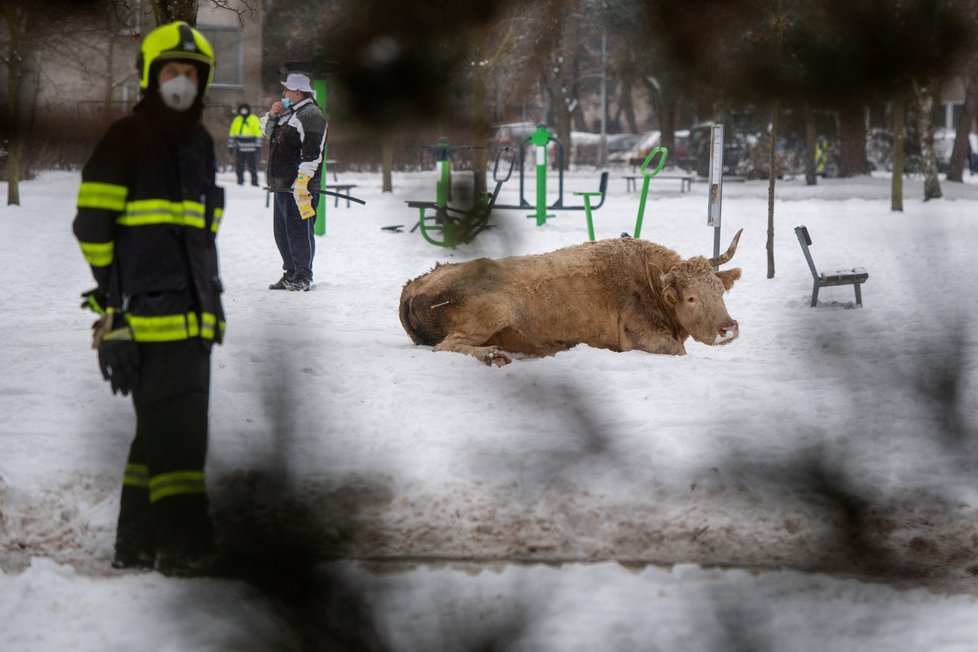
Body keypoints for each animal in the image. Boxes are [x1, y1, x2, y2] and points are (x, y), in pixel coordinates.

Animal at [396, 228, 740, 366]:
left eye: (719, 291)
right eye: (691, 298)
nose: (728, 328)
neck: (649, 282)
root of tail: (414, 284)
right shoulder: (646, 340)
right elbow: (679, 351)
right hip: (494, 311)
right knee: (446, 346)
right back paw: (493, 356)